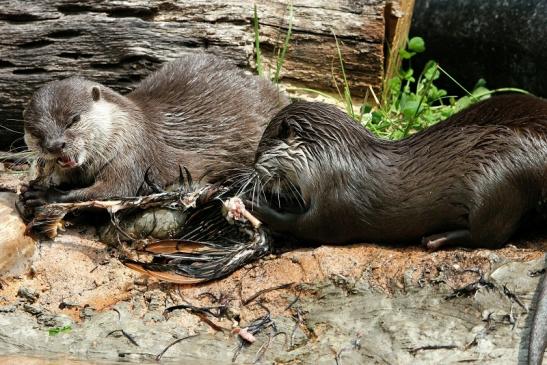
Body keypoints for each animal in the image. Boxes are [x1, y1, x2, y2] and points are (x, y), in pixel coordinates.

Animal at [19, 52, 288, 206]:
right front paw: (38, 183)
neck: (124, 129)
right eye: (35, 132)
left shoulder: (133, 158)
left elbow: (112, 189)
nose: (55, 145)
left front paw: (45, 196)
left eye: (73, 120)